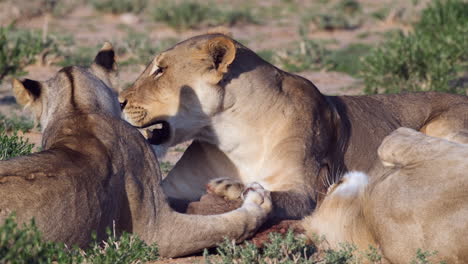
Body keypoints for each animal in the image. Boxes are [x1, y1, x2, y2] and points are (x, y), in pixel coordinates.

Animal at [119, 33, 468, 221]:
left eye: (160, 70)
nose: (119, 100)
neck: (231, 133)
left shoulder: (305, 189)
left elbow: (273, 197)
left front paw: (231, 188)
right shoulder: (172, 187)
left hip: (440, 125)